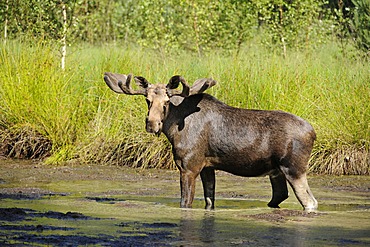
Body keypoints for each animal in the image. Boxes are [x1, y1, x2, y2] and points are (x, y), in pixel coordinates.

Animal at [104, 72, 318, 211]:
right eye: (147, 100)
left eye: (166, 102)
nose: (152, 124)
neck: (173, 129)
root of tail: (313, 132)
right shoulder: (208, 166)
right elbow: (209, 201)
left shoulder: (189, 166)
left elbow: (185, 202)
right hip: (276, 171)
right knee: (280, 196)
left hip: (294, 168)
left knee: (310, 202)